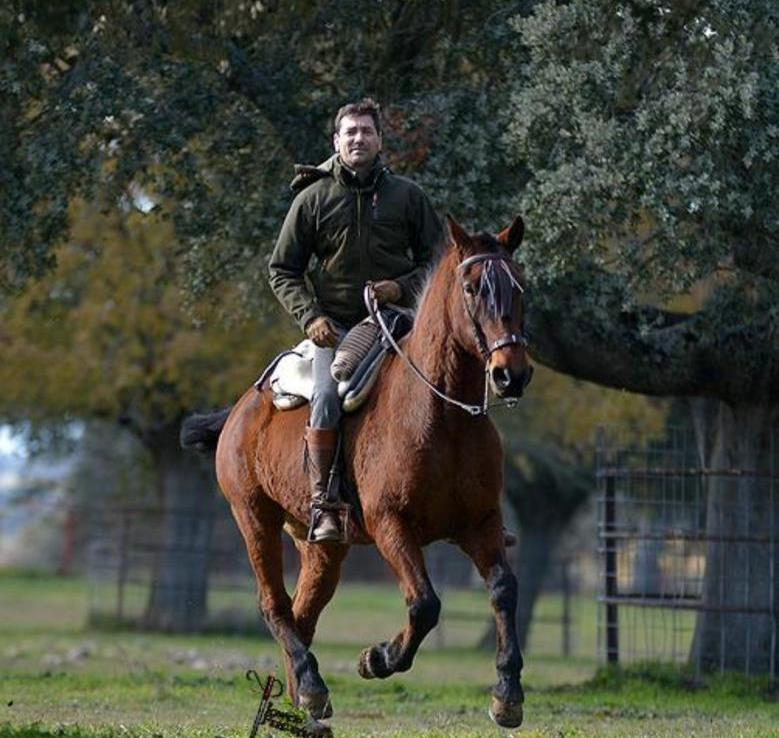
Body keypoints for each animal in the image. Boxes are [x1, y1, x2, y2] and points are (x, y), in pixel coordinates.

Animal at [181, 215, 532, 731]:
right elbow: (425, 603)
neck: (442, 417)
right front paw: (377, 658)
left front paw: (507, 694)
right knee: (274, 605)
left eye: (520, 285)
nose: (512, 374)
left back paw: (305, 699)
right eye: (471, 287)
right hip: (254, 518)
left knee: (302, 613)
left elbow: (505, 590)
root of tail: (242, 408)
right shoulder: (392, 526)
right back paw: (310, 688)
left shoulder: (480, 525)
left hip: (323, 547)